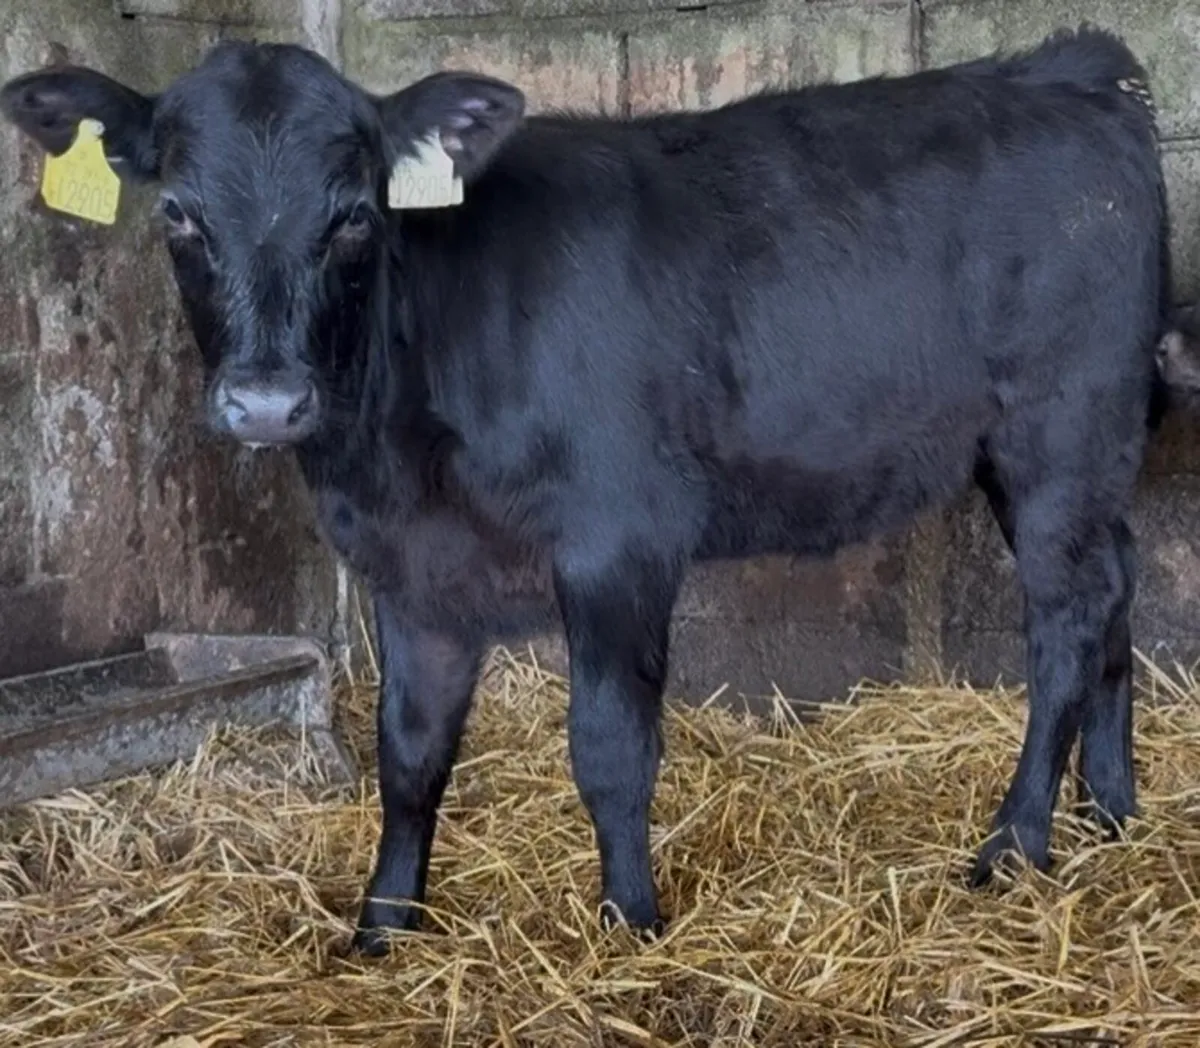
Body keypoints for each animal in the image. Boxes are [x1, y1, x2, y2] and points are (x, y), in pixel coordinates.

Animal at [1, 25, 1169, 956]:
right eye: (179, 216)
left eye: (354, 216)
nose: (266, 402)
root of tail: (1069, 71)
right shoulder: (410, 570)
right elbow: (409, 754)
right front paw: (381, 930)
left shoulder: (621, 539)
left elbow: (610, 746)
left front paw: (630, 923)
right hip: (1059, 457)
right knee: (1114, 587)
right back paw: (1111, 814)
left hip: (1060, 429)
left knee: (1064, 625)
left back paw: (1014, 844)